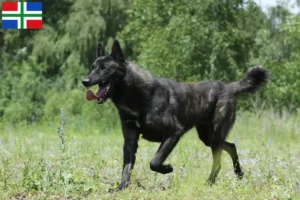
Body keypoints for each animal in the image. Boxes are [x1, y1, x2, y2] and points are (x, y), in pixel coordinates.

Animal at [81, 40, 268, 191]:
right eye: (92, 68)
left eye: (104, 69)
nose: (85, 81)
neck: (138, 96)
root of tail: (229, 87)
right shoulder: (130, 141)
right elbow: (126, 167)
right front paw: (121, 188)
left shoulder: (173, 133)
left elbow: (154, 162)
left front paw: (166, 169)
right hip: (207, 137)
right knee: (231, 146)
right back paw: (239, 174)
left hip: (214, 135)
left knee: (219, 161)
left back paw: (209, 182)